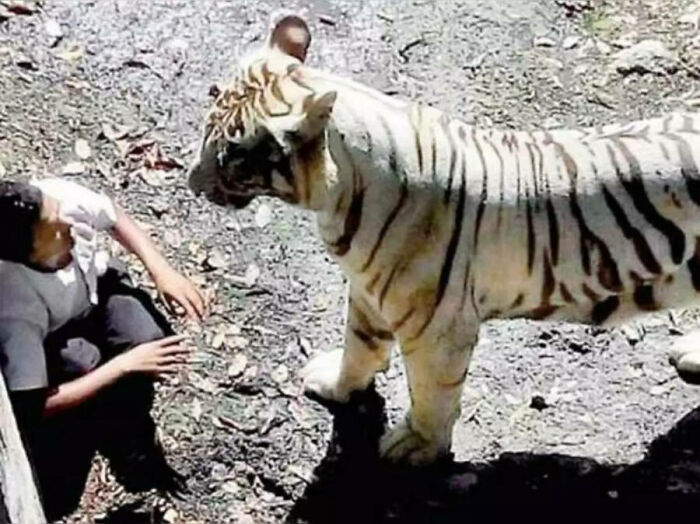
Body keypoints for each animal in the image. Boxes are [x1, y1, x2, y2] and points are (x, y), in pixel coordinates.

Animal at [187, 13, 700, 465]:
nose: (191, 183)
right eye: (209, 123)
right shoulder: (368, 292)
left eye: (231, 155)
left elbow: (432, 392)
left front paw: (417, 447)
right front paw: (336, 384)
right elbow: (360, 345)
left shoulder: (437, 327)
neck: (337, 199)